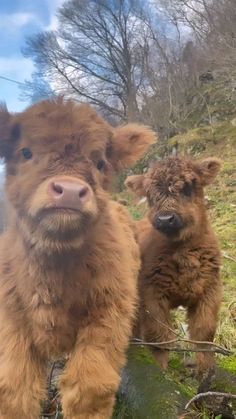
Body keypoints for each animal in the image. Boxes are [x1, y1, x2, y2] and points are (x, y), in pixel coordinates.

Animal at [0, 98, 156, 419]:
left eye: (100, 163)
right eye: (26, 152)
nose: (70, 191)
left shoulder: (108, 312)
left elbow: (89, 389)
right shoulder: (12, 321)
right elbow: (15, 391)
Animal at [126, 157, 222, 374]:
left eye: (189, 187)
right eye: (150, 196)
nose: (165, 219)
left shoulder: (210, 290)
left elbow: (204, 334)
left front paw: (206, 372)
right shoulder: (152, 295)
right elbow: (159, 338)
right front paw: (160, 371)